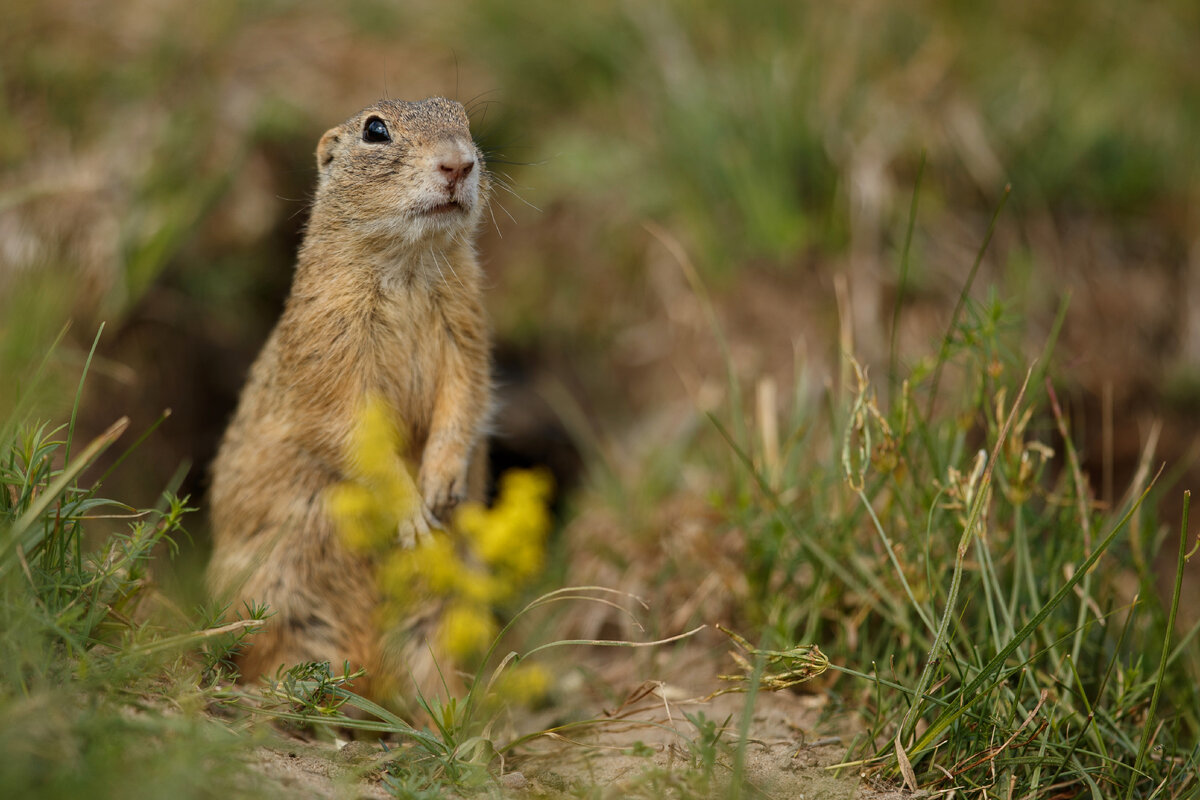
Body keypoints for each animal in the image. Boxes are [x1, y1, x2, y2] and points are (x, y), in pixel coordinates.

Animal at [207, 97, 492, 695]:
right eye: (375, 130)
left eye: (464, 119)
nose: (458, 163)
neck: (408, 265)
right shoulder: (330, 345)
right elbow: (351, 428)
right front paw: (412, 513)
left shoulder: (469, 330)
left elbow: (465, 399)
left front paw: (441, 485)